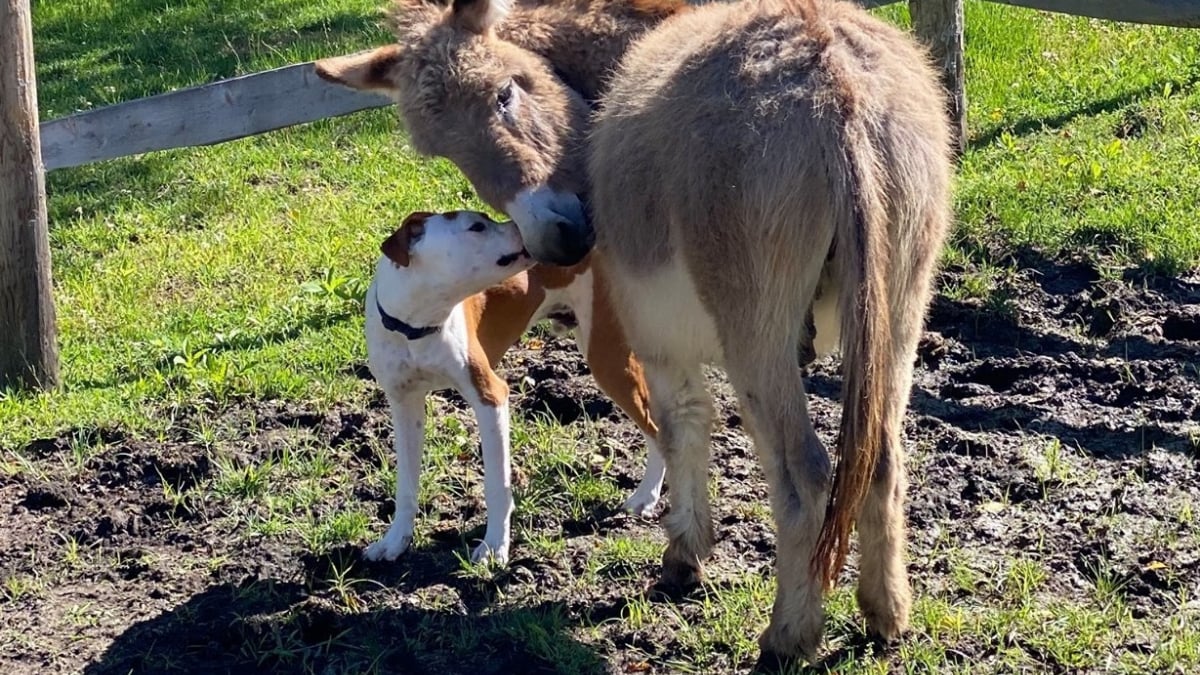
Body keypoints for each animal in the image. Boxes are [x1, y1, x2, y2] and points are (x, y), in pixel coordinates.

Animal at [364, 210, 667, 562]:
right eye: (477, 226)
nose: (523, 224)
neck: (417, 325)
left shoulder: (490, 396)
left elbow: (497, 485)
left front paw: (494, 546)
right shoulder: (404, 404)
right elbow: (406, 484)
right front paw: (395, 541)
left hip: (610, 360)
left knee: (657, 430)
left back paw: (647, 496)